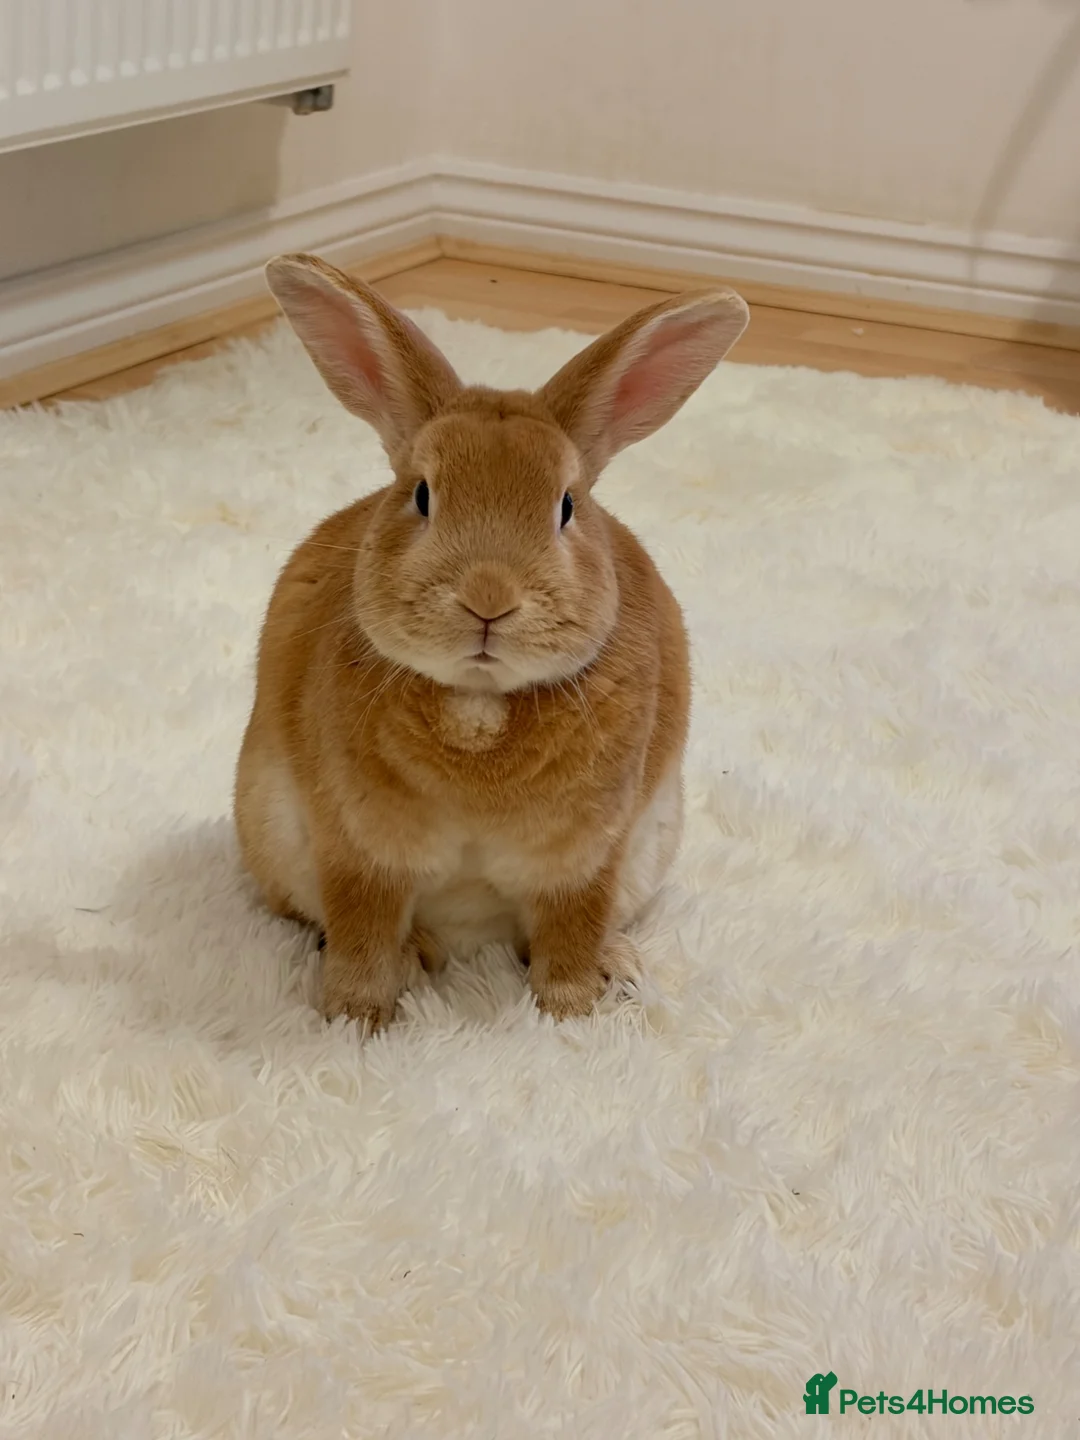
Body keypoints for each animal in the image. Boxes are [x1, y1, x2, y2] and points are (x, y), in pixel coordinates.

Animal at [234, 253, 748, 1030]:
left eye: (567, 506)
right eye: (422, 494)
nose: (489, 599)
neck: (479, 705)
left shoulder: (584, 858)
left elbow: (570, 928)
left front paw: (571, 1014)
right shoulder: (358, 851)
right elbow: (361, 930)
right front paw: (356, 1020)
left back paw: (619, 966)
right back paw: (416, 958)